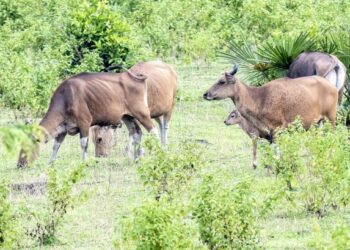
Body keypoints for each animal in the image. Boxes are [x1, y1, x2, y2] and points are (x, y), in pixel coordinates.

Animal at [16, 60, 174, 167]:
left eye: (25, 148)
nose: (19, 164)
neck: (66, 98)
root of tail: (138, 78)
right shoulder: (63, 128)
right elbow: (56, 145)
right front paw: (50, 163)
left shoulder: (84, 123)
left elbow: (83, 144)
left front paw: (84, 162)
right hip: (127, 117)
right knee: (136, 133)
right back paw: (136, 158)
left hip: (142, 114)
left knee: (154, 131)